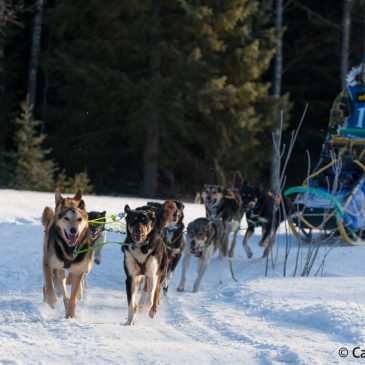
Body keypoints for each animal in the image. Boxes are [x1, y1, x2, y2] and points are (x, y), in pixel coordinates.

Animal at [41, 189, 92, 318]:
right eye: (66, 218)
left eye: (79, 219)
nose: (73, 230)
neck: (69, 249)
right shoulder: (48, 264)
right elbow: (49, 284)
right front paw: (52, 300)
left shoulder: (78, 270)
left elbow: (73, 296)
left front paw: (71, 314)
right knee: (54, 283)